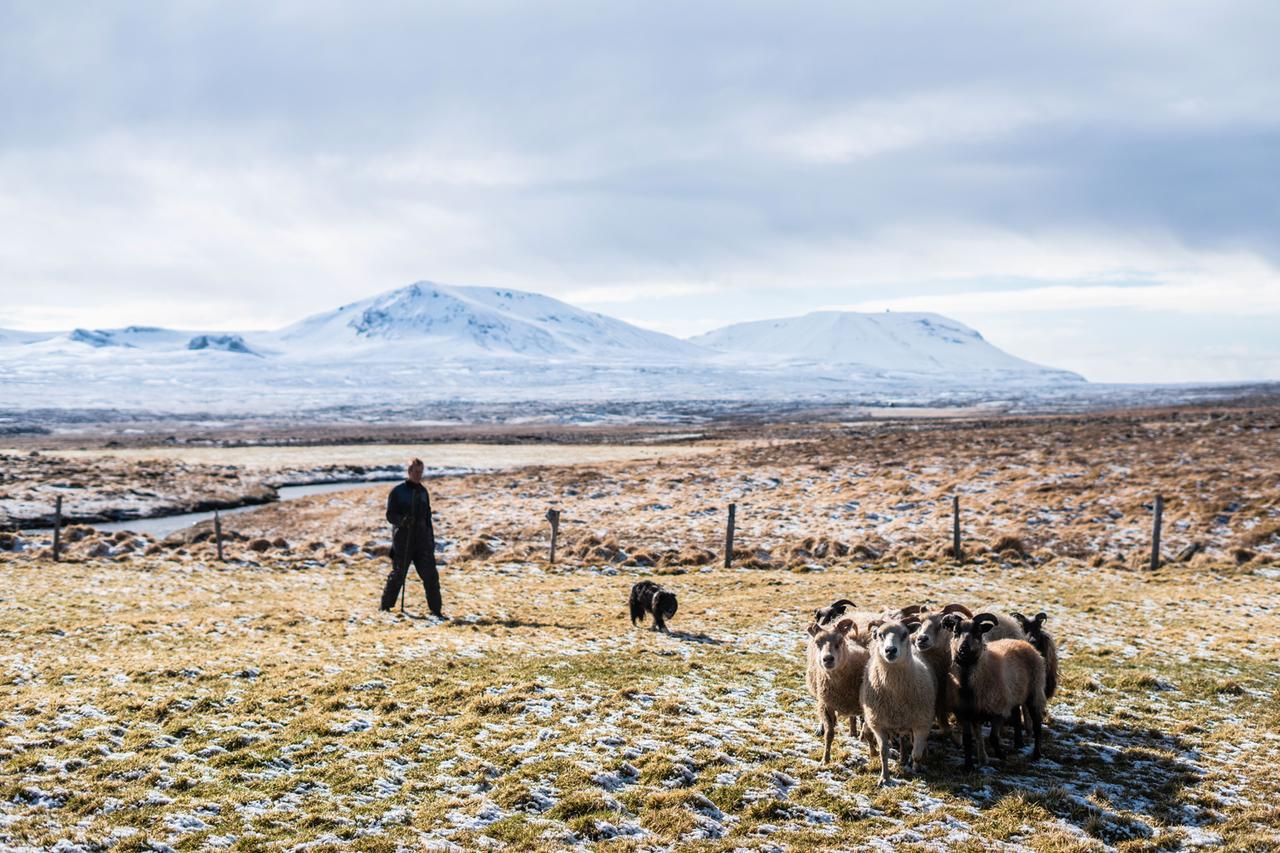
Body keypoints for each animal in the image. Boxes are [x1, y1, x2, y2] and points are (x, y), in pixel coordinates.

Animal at [803, 614, 875, 758]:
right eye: (817, 642)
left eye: (840, 641)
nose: (828, 659)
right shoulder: (826, 704)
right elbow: (829, 734)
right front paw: (825, 758)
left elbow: (867, 730)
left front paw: (873, 752)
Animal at [947, 607, 1044, 768]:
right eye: (955, 632)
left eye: (978, 632)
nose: (963, 649)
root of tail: (1024, 643)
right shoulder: (964, 714)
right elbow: (967, 740)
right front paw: (968, 766)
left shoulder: (998, 710)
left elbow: (993, 737)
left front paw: (1001, 756)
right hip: (1015, 695)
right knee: (1017, 717)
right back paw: (1019, 743)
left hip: (1034, 693)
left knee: (1037, 726)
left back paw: (1036, 754)